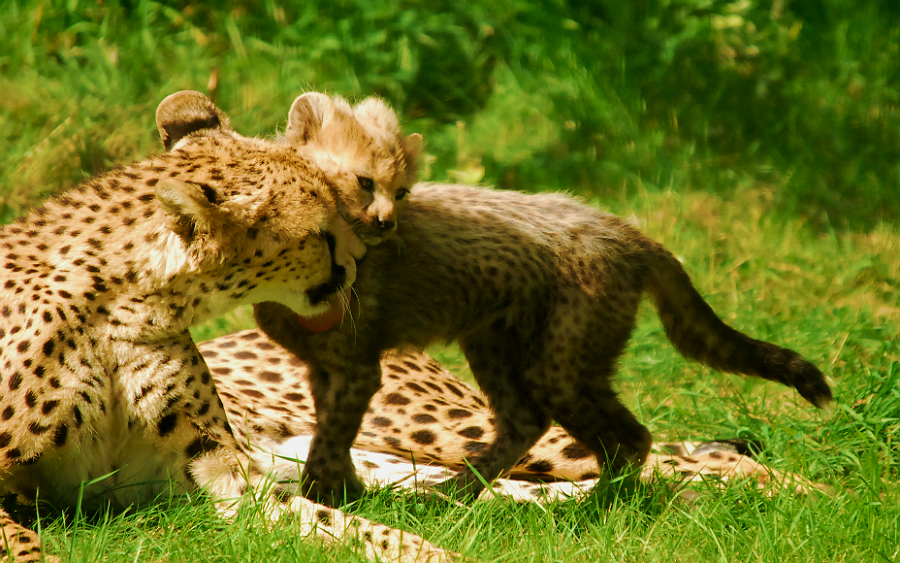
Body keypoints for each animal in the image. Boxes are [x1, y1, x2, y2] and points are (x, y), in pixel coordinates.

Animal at [0, 91, 456, 563]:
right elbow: (17, 535)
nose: (357, 262)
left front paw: (426, 550)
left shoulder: (219, 469)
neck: (123, 305)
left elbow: (336, 520)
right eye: (320, 234)